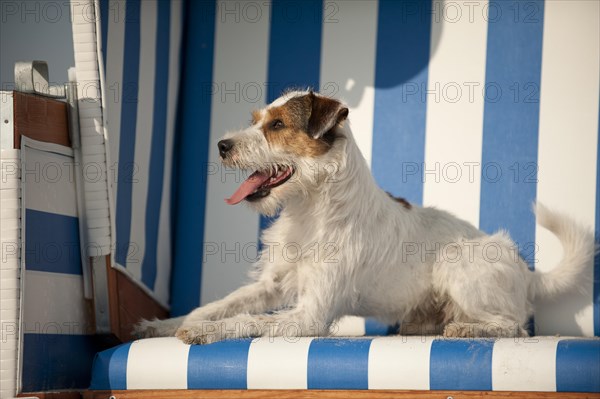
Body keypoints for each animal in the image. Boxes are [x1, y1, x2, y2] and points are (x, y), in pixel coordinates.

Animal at [137, 90, 596, 344]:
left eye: (278, 125)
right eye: (256, 121)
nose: (221, 146)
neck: (313, 208)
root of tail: (527, 270)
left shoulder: (310, 315)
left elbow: (244, 319)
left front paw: (203, 333)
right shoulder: (272, 285)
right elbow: (216, 306)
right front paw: (164, 325)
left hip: (459, 261)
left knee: (516, 327)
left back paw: (467, 329)